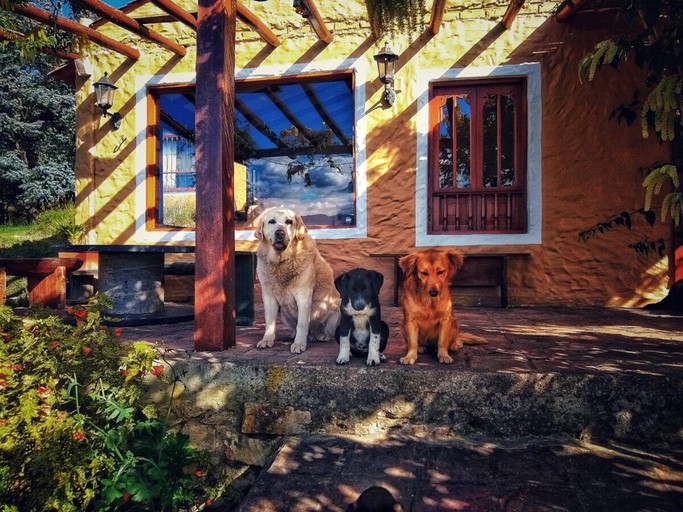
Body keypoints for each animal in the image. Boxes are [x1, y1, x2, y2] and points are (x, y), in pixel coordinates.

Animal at [255, 206, 340, 354]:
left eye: (289, 222)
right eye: (272, 221)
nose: (280, 233)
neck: (281, 262)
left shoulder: (303, 296)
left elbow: (302, 324)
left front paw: (299, 343)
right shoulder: (268, 295)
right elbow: (269, 322)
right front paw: (267, 339)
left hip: (337, 309)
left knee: (330, 332)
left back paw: (322, 336)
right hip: (284, 314)